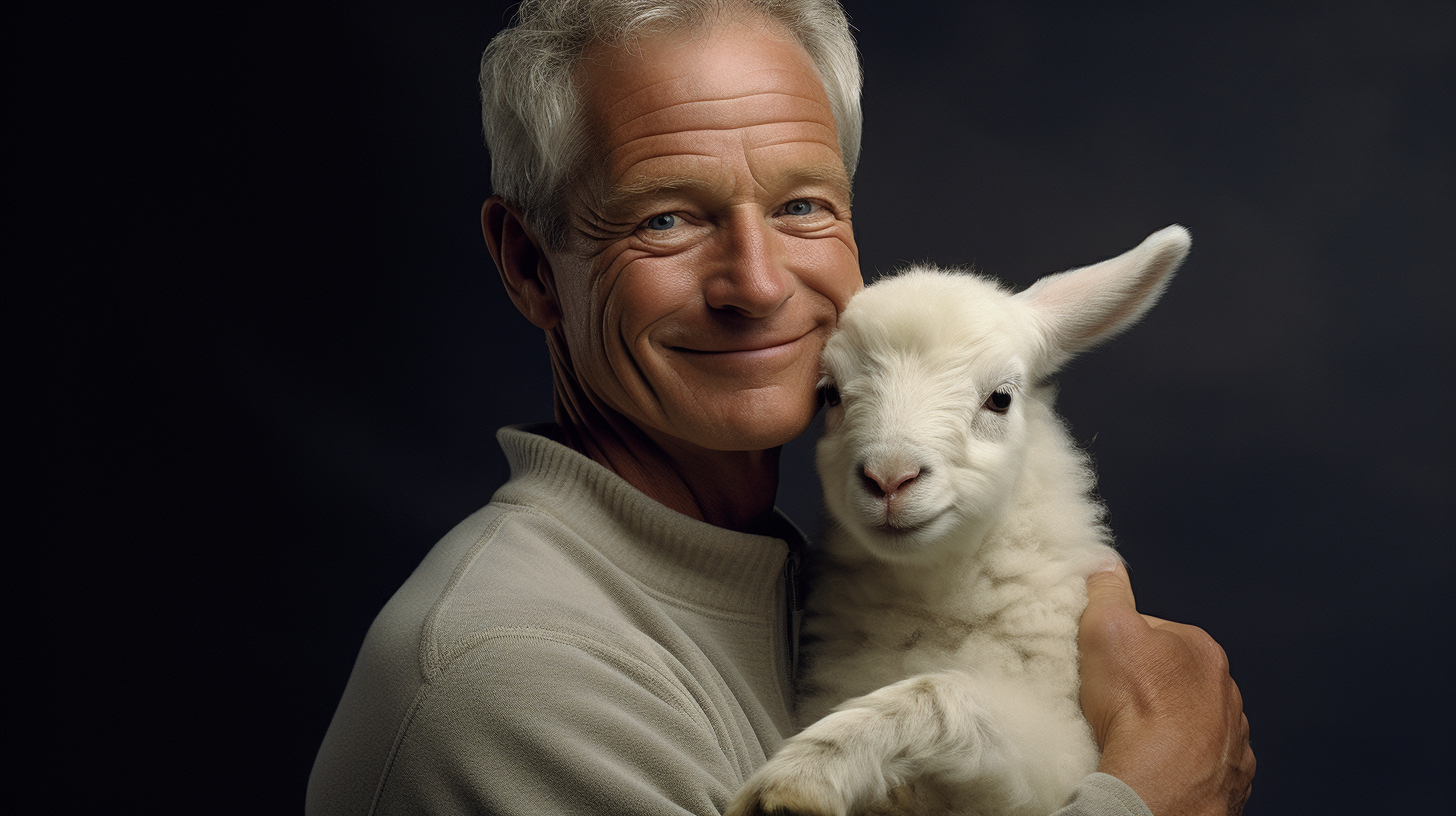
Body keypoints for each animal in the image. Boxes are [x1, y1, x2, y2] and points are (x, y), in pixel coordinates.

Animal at [728, 224, 1193, 816]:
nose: (890, 477)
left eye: (1000, 399)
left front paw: (804, 773)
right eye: (829, 394)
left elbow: (943, 694)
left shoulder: (1064, 750)